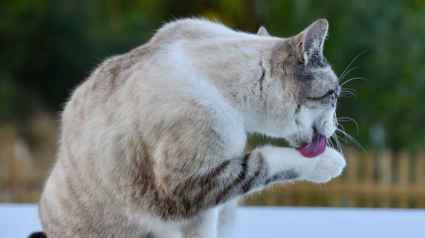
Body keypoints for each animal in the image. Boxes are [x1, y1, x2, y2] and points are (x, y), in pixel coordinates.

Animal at [39, 18, 344, 238]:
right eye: (335, 96)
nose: (337, 125)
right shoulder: (185, 189)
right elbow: (264, 162)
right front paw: (332, 163)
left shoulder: (204, 209)